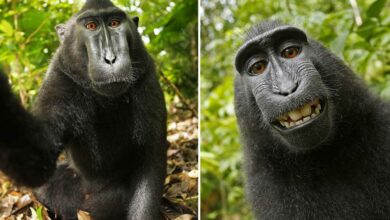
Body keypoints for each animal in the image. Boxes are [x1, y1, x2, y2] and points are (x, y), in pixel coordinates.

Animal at [0, 0, 166, 219]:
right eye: (91, 26)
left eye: (114, 23)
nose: (110, 58)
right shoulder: (59, 79)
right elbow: (37, 161)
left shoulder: (146, 78)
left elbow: (151, 160)